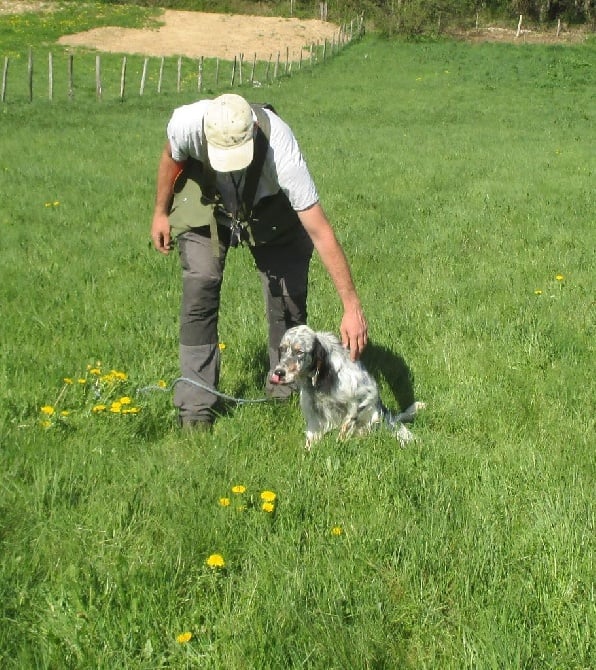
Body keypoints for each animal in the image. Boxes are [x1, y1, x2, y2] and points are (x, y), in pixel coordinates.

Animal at [270, 326, 424, 452]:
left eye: (299, 352)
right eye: (282, 349)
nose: (278, 372)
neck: (325, 376)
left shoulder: (366, 394)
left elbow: (346, 426)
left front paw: (339, 444)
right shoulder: (312, 410)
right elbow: (311, 436)